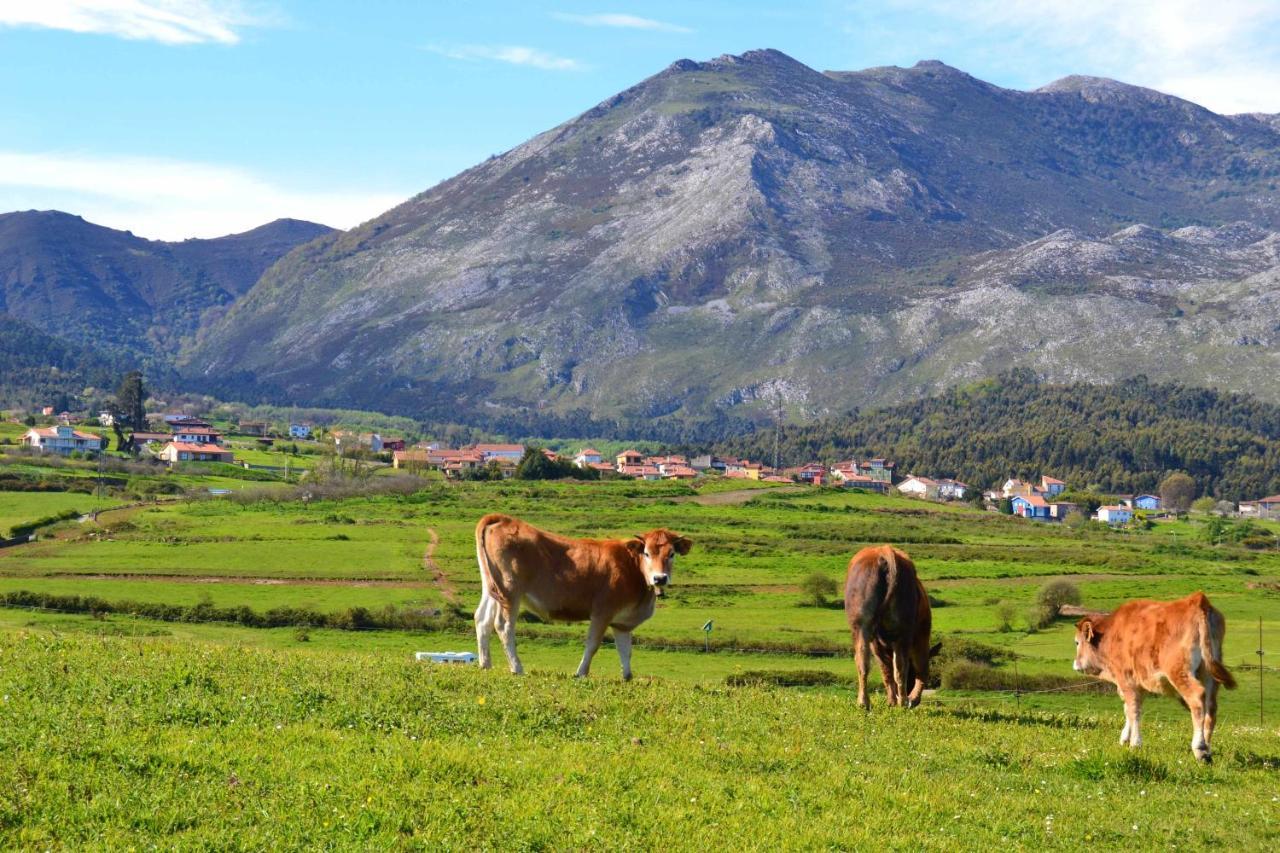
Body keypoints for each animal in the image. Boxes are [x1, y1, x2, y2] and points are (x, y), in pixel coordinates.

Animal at [473, 512, 691, 676]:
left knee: (483, 619)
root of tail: (504, 519)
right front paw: (581, 673)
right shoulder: (603, 612)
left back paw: (485, 664)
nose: (660, 578)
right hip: (510, 591)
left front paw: (627, 677)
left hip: (493, 588)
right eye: (647, 553)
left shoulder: (622, 622)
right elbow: (593, 644)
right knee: (504, 626)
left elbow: (625, 650)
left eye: (671, 554)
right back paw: (517, 668)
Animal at [839, 540, 942, 706]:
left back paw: (865, 703)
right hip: (903, 632)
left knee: (865, 660)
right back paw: (904, 702)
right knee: (903, 666)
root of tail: (884, 552)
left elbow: (886, 670)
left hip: (862, 626)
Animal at [1070, 589, 1239, 758]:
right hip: (1210, 674)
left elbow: (1133, 710)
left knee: (1197, 698)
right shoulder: (1139, 684)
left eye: (1077, 642)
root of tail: (1197, 602)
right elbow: (1129, 709)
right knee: (1211, 707)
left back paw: (1200, 748)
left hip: (1179, 671)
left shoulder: (1127, 680)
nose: (1075, 664)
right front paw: (1125, 738)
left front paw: (1135, 743)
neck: (1112, 633)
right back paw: (1208, 748)